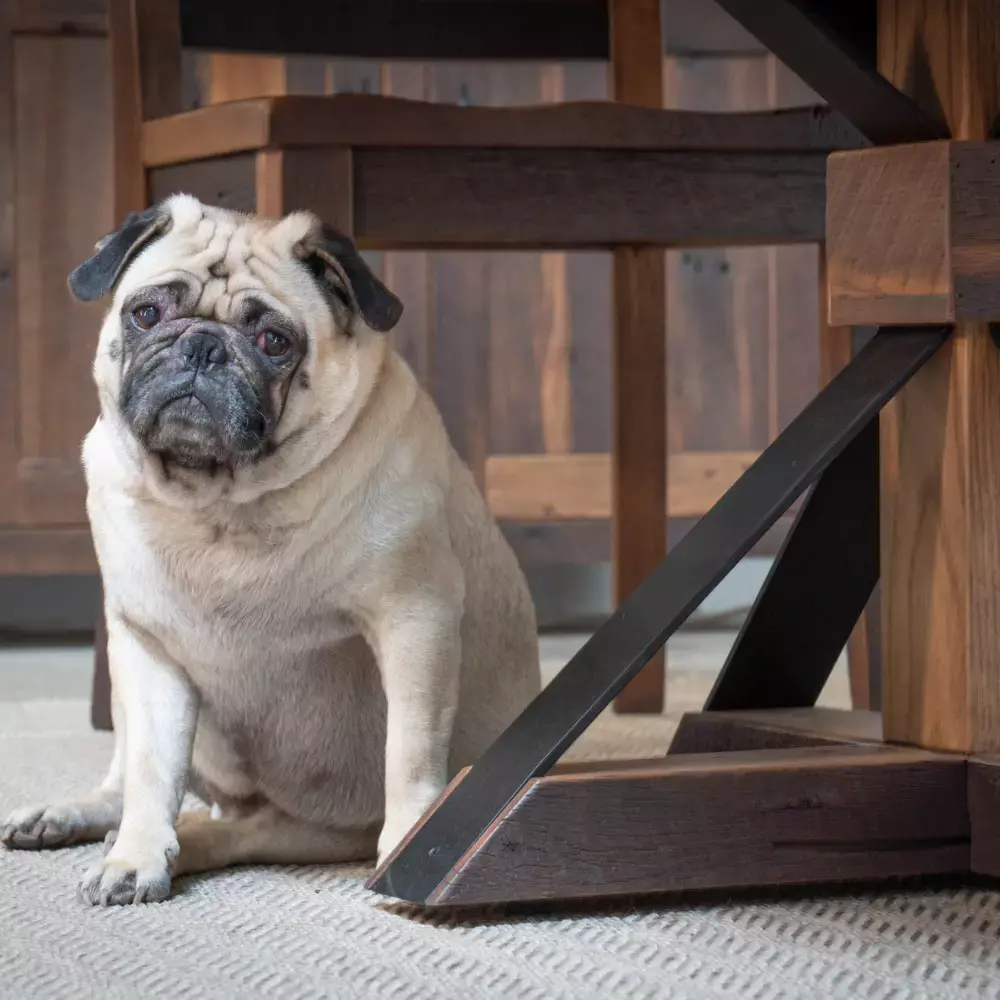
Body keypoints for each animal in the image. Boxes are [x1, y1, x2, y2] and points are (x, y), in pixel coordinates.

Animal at [0, 195, 540, 908]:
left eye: (274, 342)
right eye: (147, 313)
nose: (202, 345)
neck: (221, 506)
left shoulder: (414, 617)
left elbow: (410, 751)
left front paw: (407, 847)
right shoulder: (144, 643)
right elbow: (151, 771)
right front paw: (136, 858)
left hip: (301, 825)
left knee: (239, 830)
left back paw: (194, 838)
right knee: (128, 784)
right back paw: (80, 820)